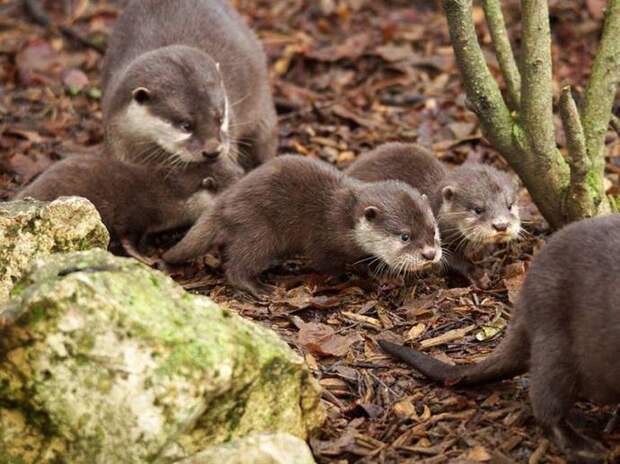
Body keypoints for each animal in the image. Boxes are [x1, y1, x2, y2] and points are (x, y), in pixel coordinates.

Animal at [161, 154, 440, 296]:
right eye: (405, 236)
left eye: (433, 230)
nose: (430, 254)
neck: (344, 218)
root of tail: (225, 200)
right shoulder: (323, 238)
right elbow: (326, 263)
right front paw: (359, 275)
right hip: (258, 230)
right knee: (237, 265)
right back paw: (259, 288)